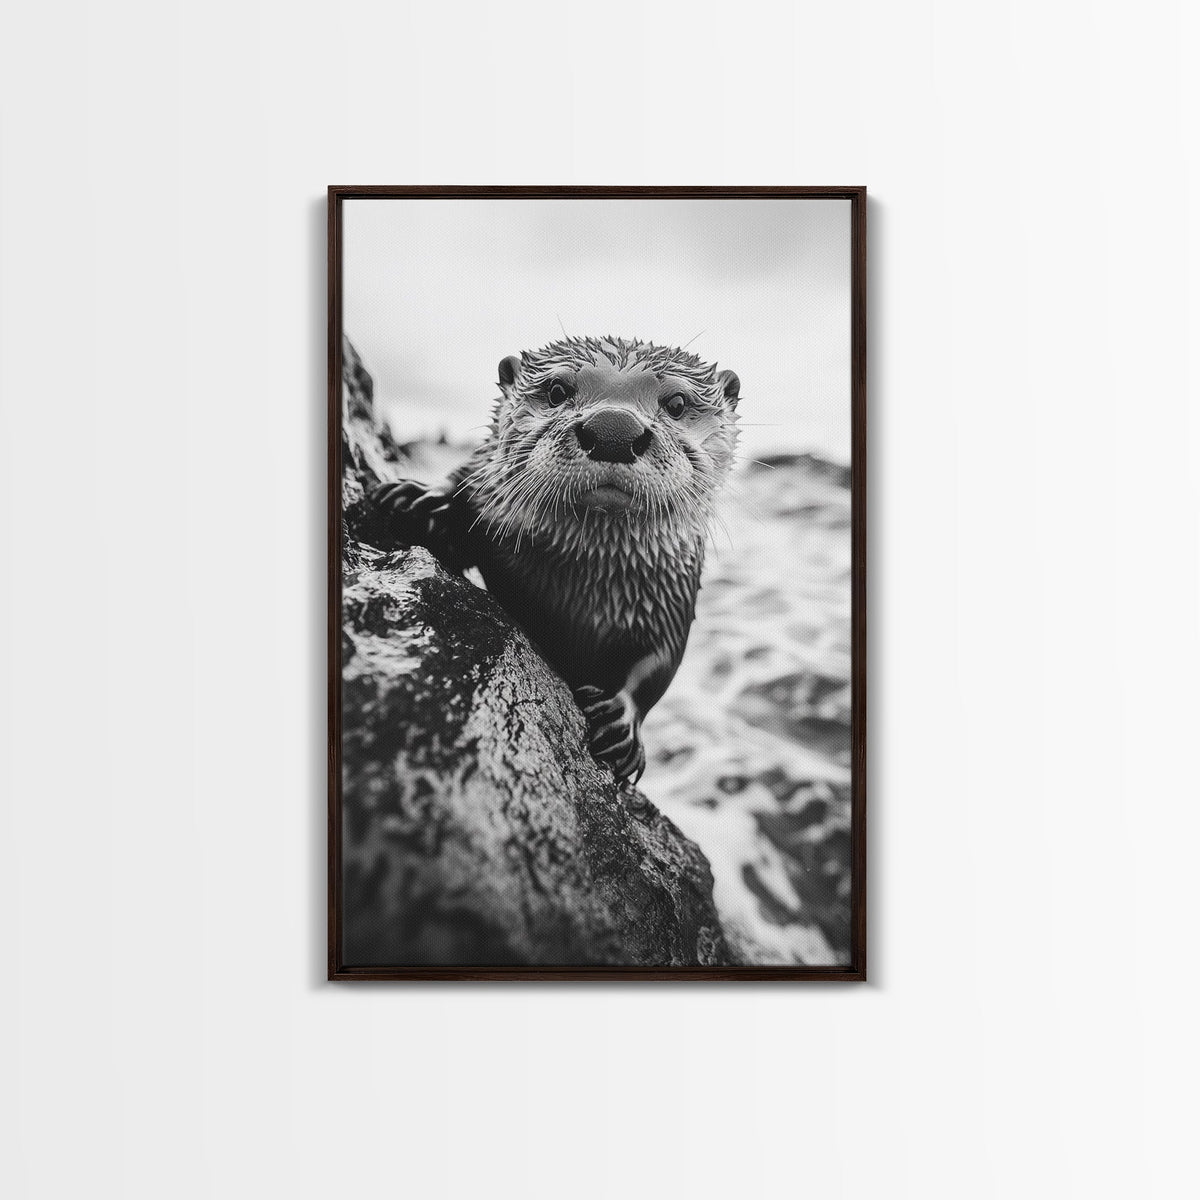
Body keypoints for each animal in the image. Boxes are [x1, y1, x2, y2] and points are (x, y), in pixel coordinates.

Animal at [368, 335, 740, 782]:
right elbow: (463, 481)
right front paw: (421, 499)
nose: (614, 430)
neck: (579, 583)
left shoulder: (672, 594)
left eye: (678, 403)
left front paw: (621, 723)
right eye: (558, 390)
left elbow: (658, 663)